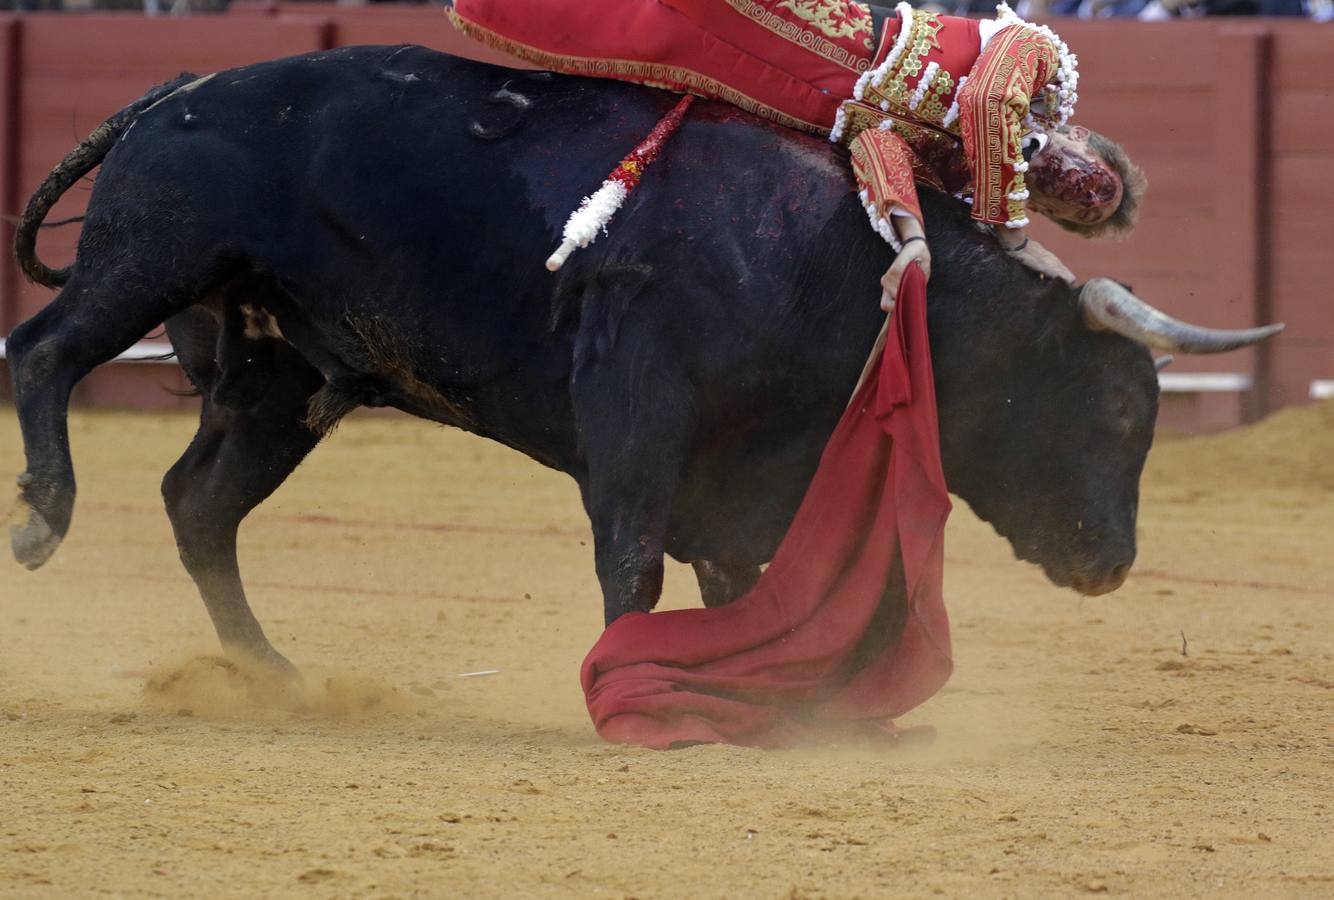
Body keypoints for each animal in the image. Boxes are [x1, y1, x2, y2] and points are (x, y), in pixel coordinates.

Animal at [2, 45, 1280, 672]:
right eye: (1113, 414)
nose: (1110, 563)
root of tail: (177, 88)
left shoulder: (754, 468)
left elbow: (748, 570)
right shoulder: (636, 404)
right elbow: (633, 558)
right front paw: (628, 671)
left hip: (279, 371)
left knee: (197, 500)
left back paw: (265, 668)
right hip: (152, 260)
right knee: (41, 351)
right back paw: (43, 518)